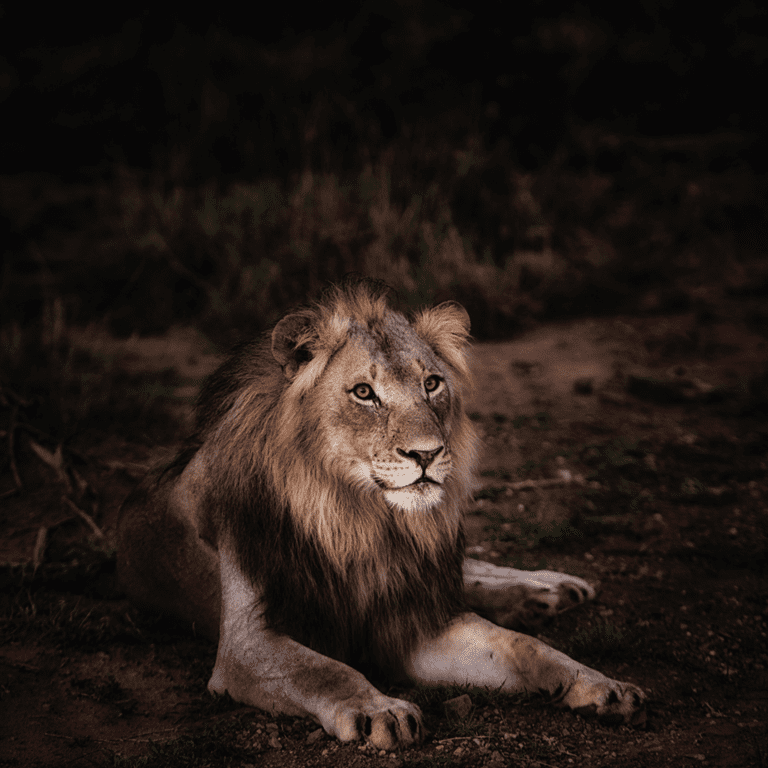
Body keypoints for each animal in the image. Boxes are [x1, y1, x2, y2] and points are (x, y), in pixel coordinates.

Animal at [117, 280, 645, 750]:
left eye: (432, 383)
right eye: (364, 393)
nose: (427, 454)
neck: (362, 521)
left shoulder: (411, 620)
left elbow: (523, 646)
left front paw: (599, 684)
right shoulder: (247, 646)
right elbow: (327, 671)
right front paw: (382, 710)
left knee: (469, 571)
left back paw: (549, 588)